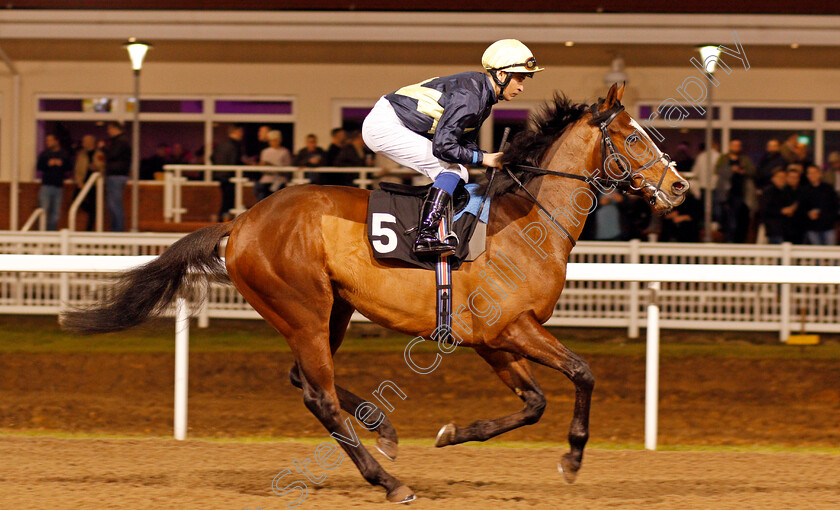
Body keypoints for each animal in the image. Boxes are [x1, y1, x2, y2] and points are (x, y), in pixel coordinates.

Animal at [62, 83, 684, 502]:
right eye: (632, 136)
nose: (678, 186)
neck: (529, 221)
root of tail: (240, 223)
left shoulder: (492, 339)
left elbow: (533, 404)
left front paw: (453, 433)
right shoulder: (512, 327)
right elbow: (583, 373)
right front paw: (573, 458)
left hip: (329, 310)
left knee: (303, 378)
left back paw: (383, 432)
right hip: (304, 309)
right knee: (318, 395)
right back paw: (388, 480)